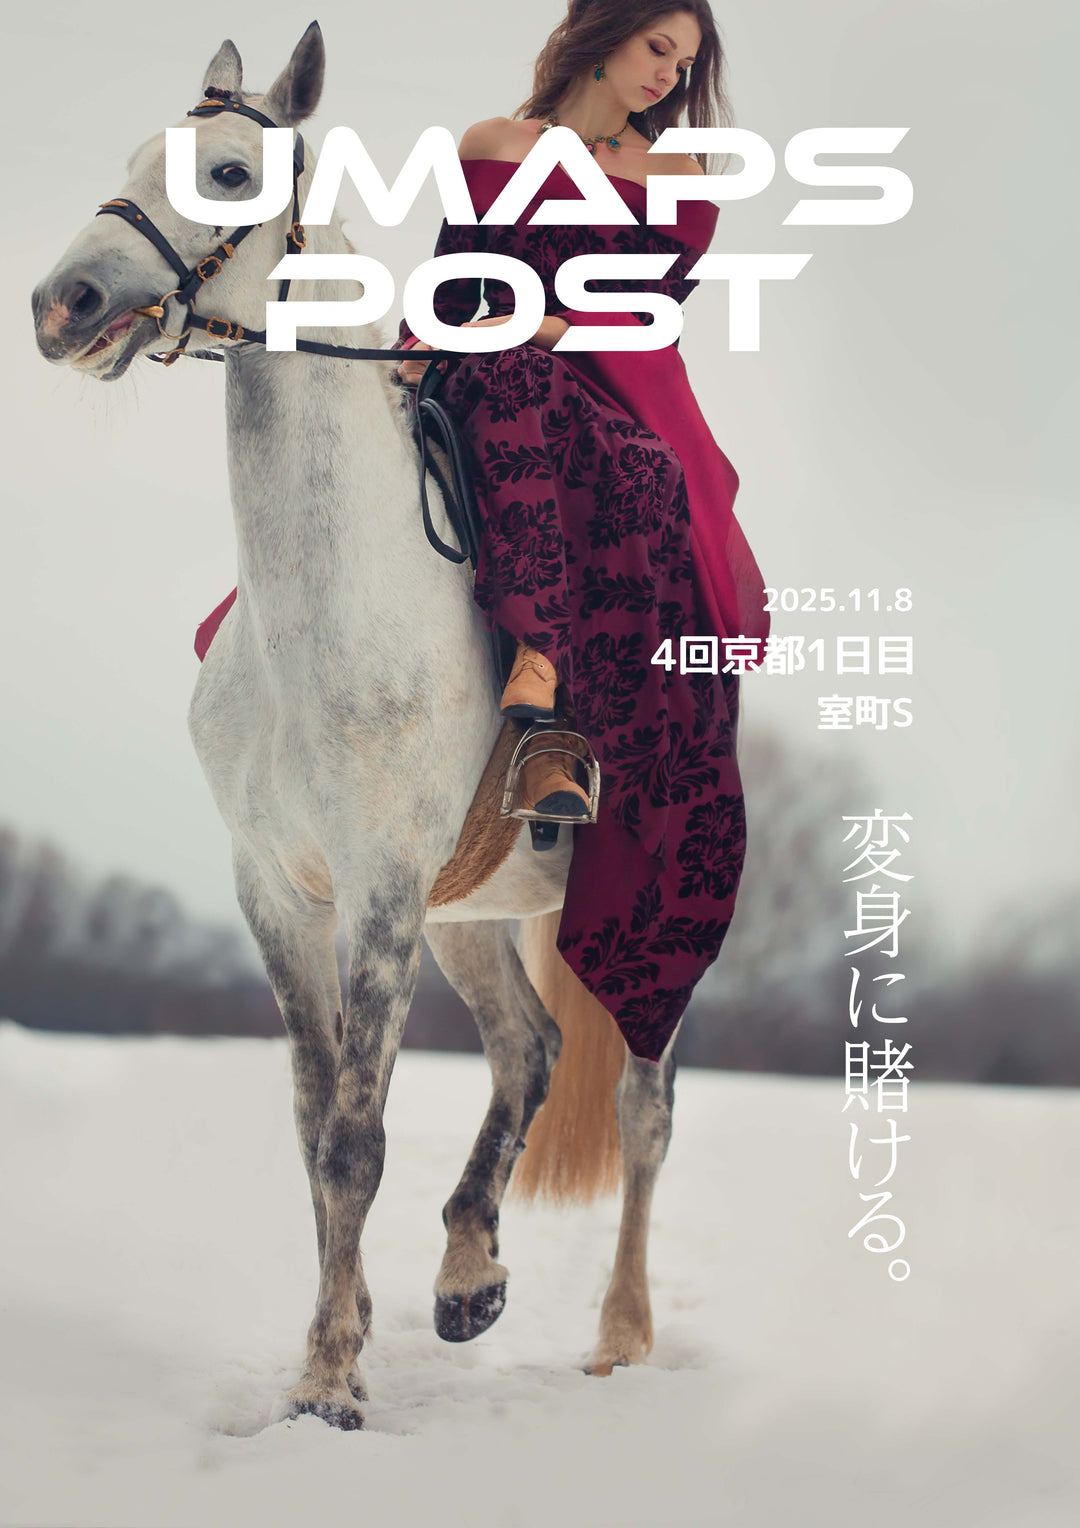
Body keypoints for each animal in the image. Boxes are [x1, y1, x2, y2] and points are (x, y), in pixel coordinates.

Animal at [31, 22, 680, 1429]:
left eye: (230, 170)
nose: (65, 306)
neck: (323, 606)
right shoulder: (280, 888)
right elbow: (312, 1116)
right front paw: (360, 1332)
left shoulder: (379, 889)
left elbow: (354, 1136)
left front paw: (329, 1380)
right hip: (477, 915)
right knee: (530, 1049)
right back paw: (468, 1278)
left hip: (644, 915)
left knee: (645, 1111)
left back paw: (622, 1337)